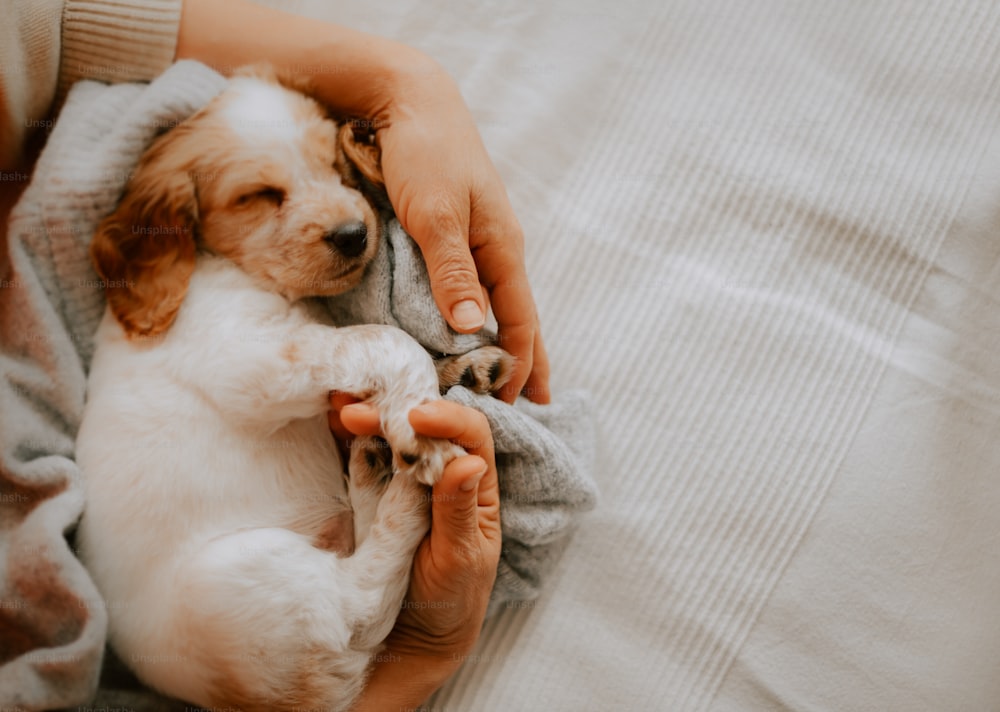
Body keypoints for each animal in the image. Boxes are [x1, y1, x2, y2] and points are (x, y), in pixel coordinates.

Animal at [77, 68, 512, 712]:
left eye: (335, 166)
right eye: (259, 195)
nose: (356, 235)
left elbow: (373, 345)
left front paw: (460, 369)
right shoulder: (252, 363)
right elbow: (383, 338)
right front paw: (420, 426)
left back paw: (372, 468)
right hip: (249, 578)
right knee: (360, 603)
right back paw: (406, 491)